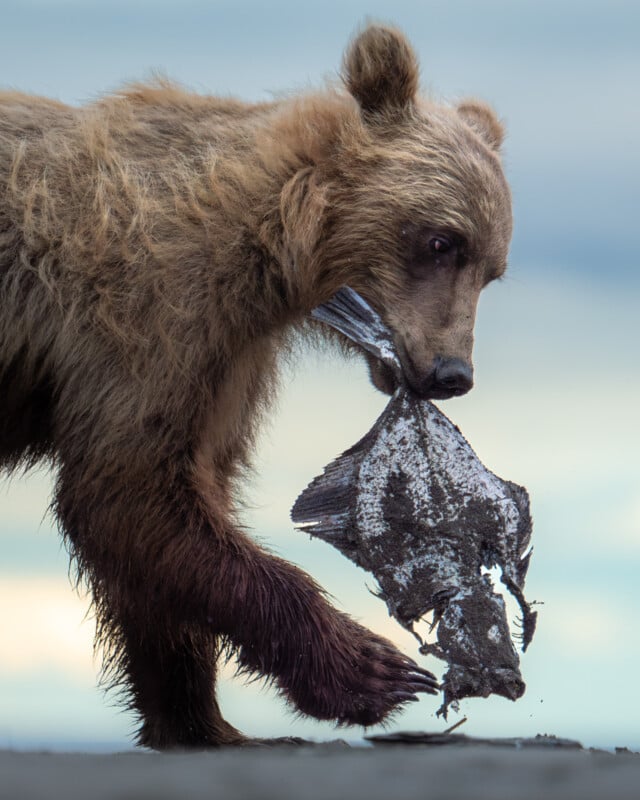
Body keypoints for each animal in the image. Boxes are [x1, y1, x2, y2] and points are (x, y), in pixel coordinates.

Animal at [0, 25, 512, 748]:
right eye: (441, 241)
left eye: (492, 271)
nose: (452, 374)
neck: (267, 244)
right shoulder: (154, 312)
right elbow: (129, 487)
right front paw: (372, 670)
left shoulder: (228, 359)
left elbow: (171, 509)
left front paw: (198, 718)